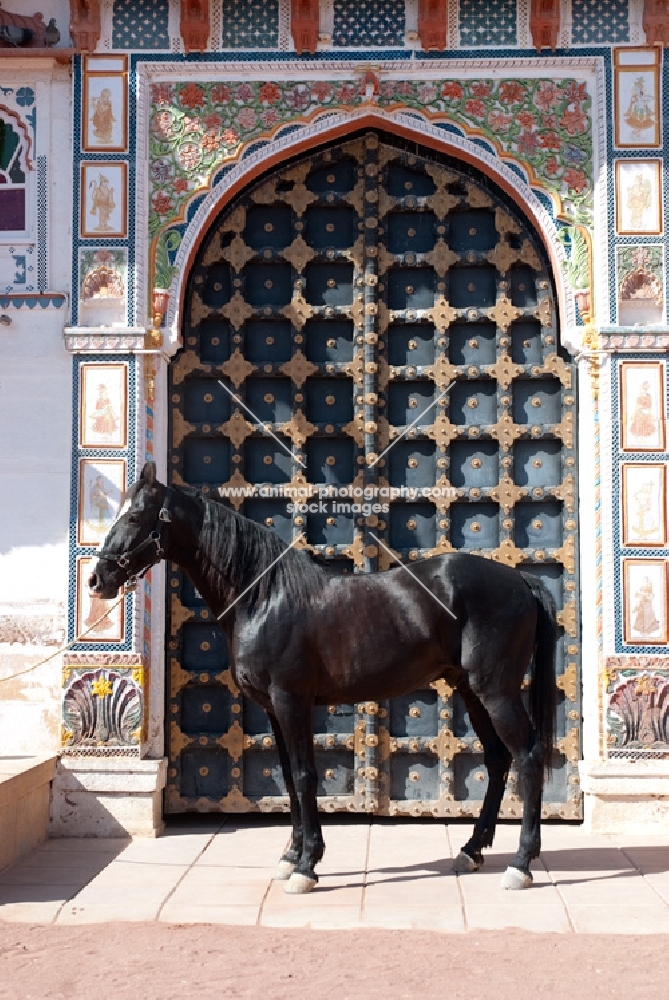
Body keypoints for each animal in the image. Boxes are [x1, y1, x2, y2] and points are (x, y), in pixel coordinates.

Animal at [90, 464, 560, 896]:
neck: (264, 597)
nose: (97, 579)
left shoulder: (291, 701)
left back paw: (521, 864)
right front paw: (290, 857)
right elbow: (286, 777)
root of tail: (520, 579)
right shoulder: (273, 709)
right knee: (498, 759)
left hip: (496, 691)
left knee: (529, 756)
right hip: (471, 690)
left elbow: (304, 776)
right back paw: (472, 850)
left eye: (136, 516)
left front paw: (306, 866)